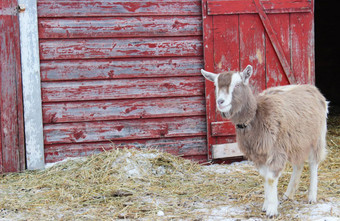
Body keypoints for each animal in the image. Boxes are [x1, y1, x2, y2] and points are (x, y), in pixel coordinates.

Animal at [201, 64, 328, 217]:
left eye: (237, 84)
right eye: (215, 85)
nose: (220, 102)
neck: (255, 117)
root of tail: (312, 89)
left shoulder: (276, 150)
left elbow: (271, 178)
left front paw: (272, 210)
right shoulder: (258, 154)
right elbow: (264, 177)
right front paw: (266, 205)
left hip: (317, 137)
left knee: (314, 163)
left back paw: (311, 197)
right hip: (296, 141)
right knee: (298, 165)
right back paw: (288, 194)